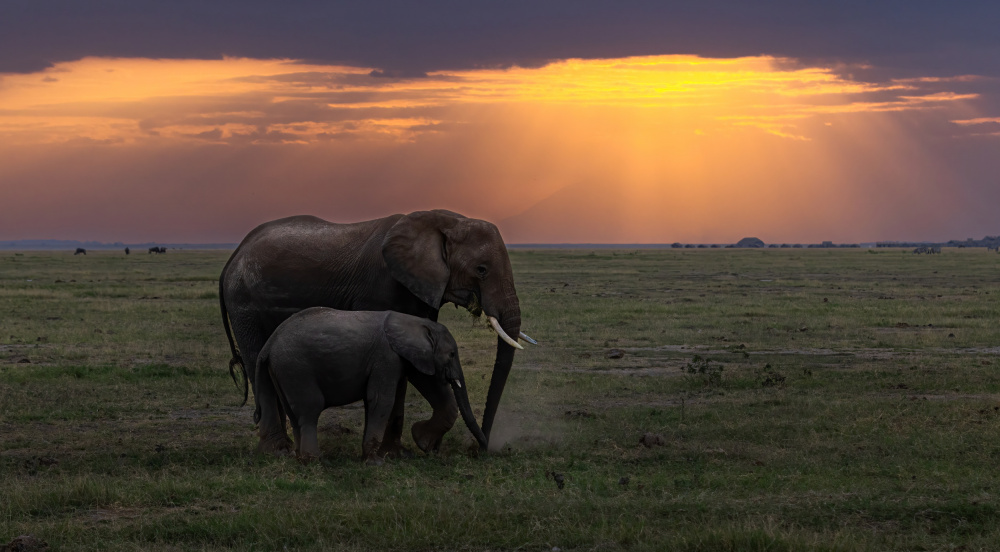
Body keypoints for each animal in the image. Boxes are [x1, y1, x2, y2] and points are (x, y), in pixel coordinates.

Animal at [254, 307, 487, 462]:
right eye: (452, 354)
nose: (480, 451)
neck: (413, 321)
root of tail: (268, 344)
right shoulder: (386, 356)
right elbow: (381, 399)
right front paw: (375, 462)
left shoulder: (403, 357)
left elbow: (424, 383)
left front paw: (421, 443)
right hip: (296, 368)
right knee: (309, 410)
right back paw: (315, 461)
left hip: (282, 371)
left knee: (294, 415)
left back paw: (301, 458)